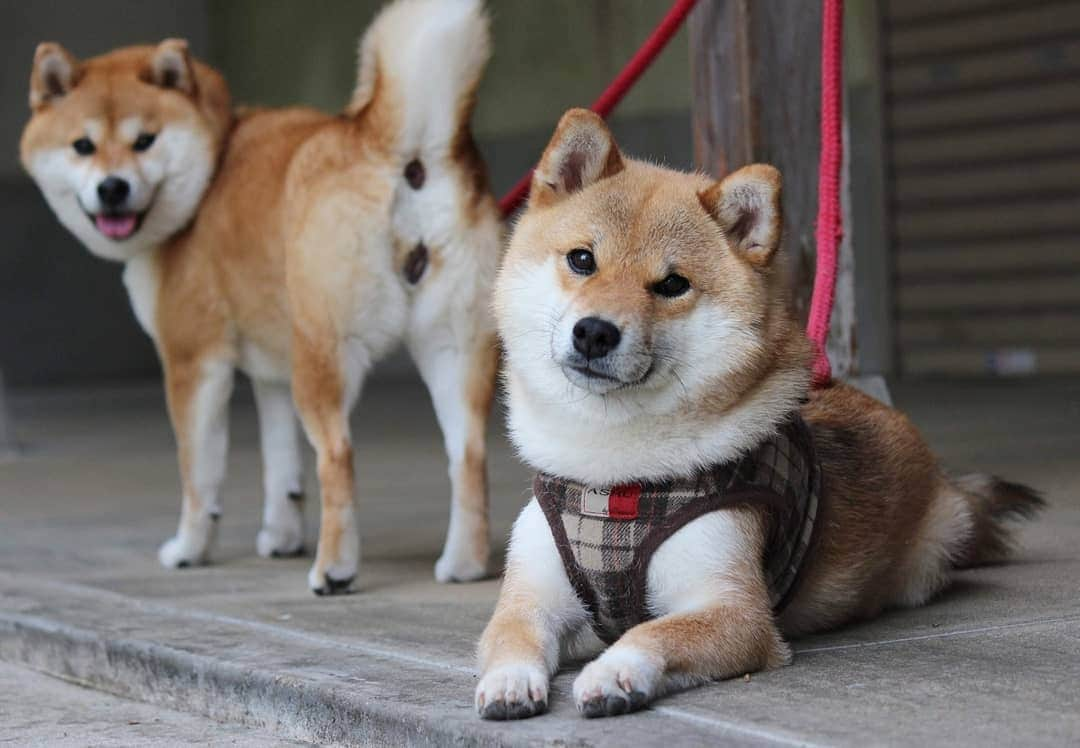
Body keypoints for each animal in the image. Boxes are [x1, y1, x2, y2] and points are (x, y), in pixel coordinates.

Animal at [19, 0, 501, 595]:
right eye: (82, 146)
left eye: (144, 140)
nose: (112, 188)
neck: (213, 157)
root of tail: (397, 153)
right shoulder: (272, 373)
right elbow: (281, 465)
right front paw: (280, 536)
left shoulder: (193, 362)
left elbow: (199, 476)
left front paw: (190, 549)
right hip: (452, 351)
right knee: (469, 457)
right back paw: (464, 564)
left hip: (325, 355)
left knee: (338, 456)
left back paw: (334, 570)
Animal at [475, 109, 1045, 716]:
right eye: (582, 259)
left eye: (672, 284)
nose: (594, 332)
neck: (614, 478)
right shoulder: (531, 595)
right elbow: (510, 636)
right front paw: (510, 682)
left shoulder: (735, 608)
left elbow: (652, 632)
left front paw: (615, 672)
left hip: (940, 543)